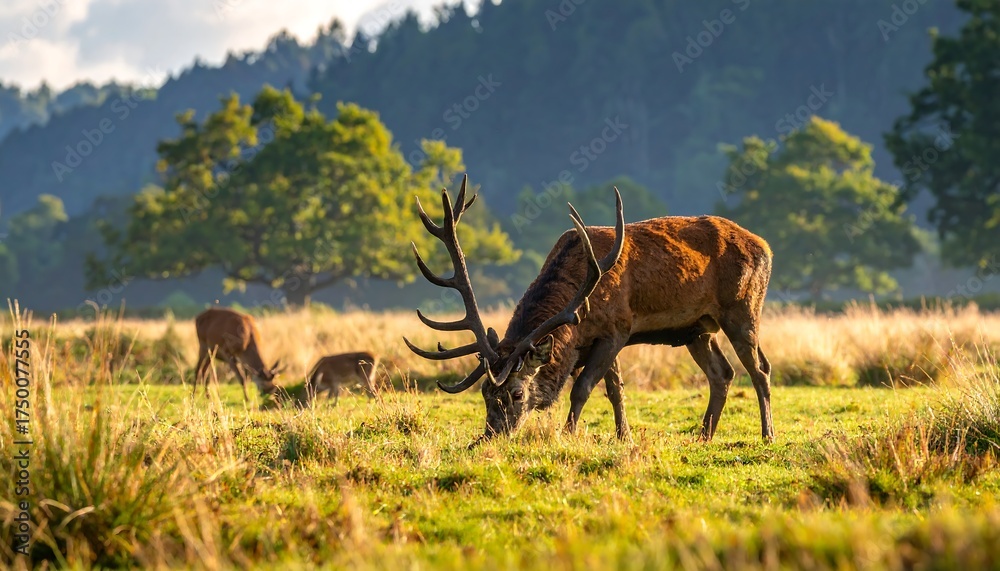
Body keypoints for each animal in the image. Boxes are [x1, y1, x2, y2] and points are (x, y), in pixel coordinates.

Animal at [403, 175, 774, 446]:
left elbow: (582, 387)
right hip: (696, 329)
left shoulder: (617, 329)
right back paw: (704, 436)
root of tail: (765, 246)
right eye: (484, 392)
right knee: (722, 373)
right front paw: (624, 437)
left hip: (742, 309)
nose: (485, 438)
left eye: (517, 393)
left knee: (760, 369)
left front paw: (568, 434)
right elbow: (615, 390)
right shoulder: (602, 338)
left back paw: (767, 435)